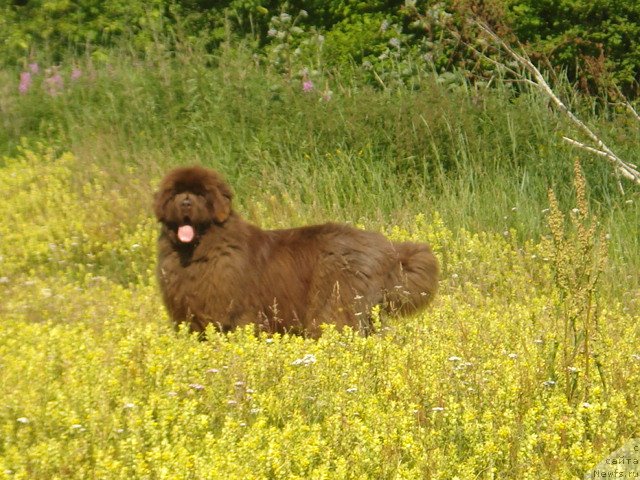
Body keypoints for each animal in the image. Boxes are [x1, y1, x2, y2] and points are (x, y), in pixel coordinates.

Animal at [154, 166, 440, 338]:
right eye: (176, 193)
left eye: (201, 194)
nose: (186, 202)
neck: (201, 252)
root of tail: (388, 248)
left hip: (335, 303)